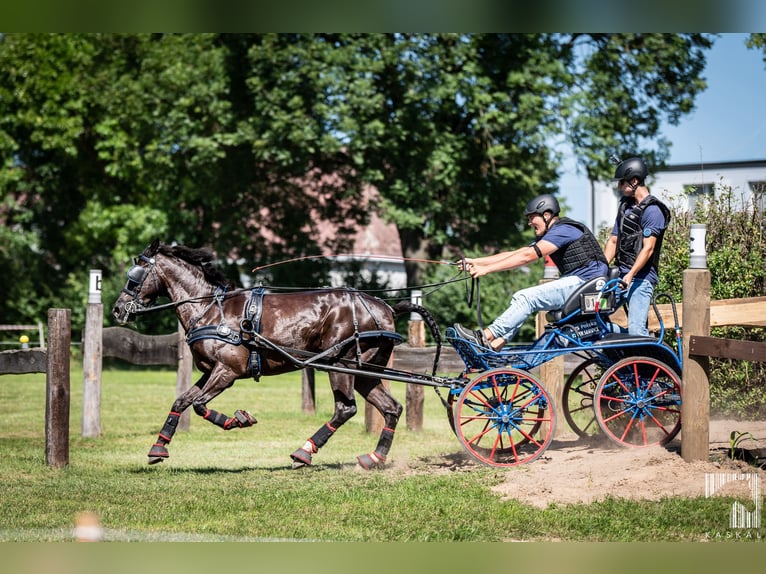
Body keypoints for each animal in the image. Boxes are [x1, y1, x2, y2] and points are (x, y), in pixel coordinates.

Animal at [112, 239, 442, 469]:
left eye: (135, 274)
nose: (117, 309)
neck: (211, 309)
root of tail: (386, 308)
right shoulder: (210, 371)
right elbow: (181, 401)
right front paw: (158, 448)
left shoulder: (228, 371)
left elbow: (200, 405)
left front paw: (239, 420)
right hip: (364, 370)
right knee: (391, 408)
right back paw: (374, 458)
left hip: (340, 364)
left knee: (345, 409)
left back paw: (304, 452)